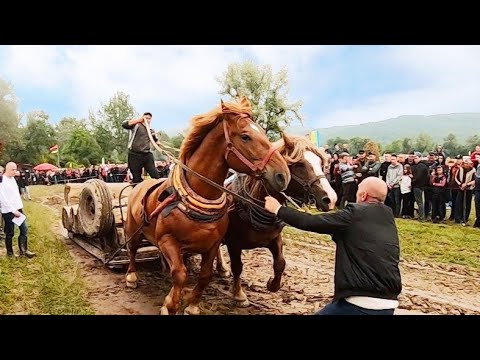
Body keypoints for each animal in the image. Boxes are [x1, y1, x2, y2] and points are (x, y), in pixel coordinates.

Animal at [123, 97, 288, 314]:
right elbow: (180, 274)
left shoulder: (212, 244)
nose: (283, 175)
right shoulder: (167, 239)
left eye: (262, 131)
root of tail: (139, 184)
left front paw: (192, 305)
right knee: (132, 250)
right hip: (133, 229)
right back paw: (131, 276)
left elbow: (204, 276)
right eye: (245, 136)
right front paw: (170, 304)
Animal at [216, 134, 336, 308]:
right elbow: (237, 267)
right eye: (299, 164)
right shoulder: (233, 243)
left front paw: (272, 284)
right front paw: (239, 295)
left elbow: (280, 263)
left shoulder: (275, 238)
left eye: (321, 163)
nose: (331, 199)